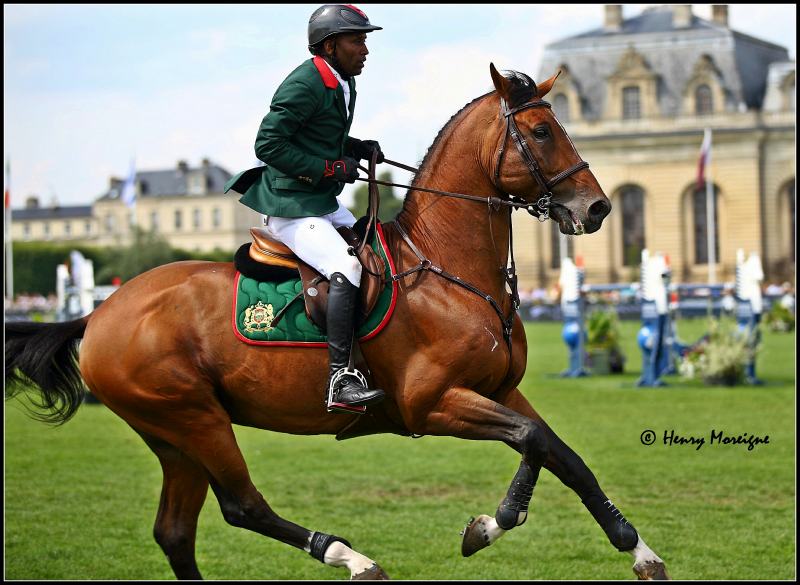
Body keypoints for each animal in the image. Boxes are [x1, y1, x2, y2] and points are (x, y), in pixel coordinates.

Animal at [4, 65, 668, 580]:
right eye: (540, 131)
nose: (597, 208)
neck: (449, 268)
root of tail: (100, 313)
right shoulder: (431, 404)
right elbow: (532, 442)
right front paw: (493, 523)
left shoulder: (500, 390)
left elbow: (560, 453)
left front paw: (636, 550)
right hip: (194, 419)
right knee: (242, 507)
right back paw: (352, 558)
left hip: (173, 437)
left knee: (175, 532)